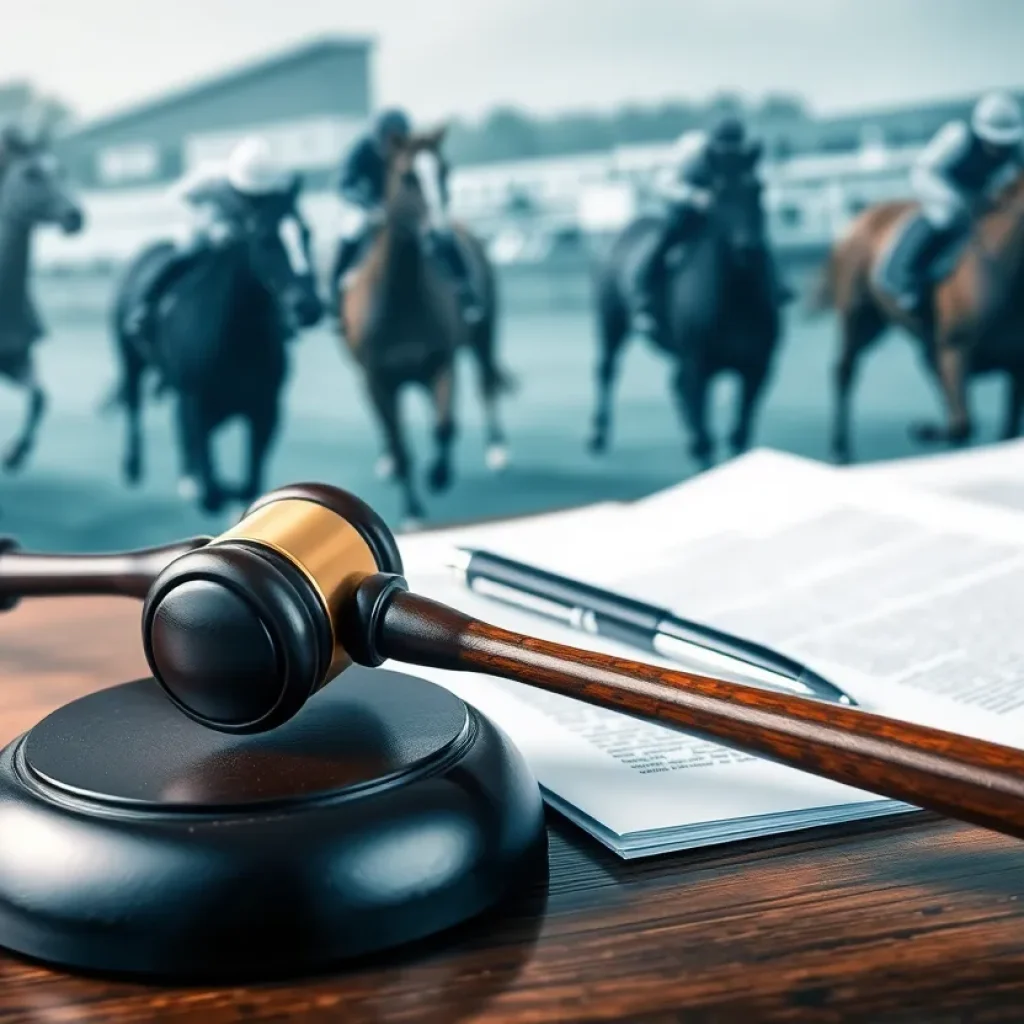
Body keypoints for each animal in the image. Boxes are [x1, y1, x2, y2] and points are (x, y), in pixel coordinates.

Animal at [0, 142, 83, 468]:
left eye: (61, 171)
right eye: (31, 174)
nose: (75, 216)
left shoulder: (16, 359)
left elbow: (39, 397)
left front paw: (15, 452)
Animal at [110, 178, 321, 512]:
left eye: (306, 233)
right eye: (265, 239)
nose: (309, 307)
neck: (237, 337)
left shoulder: (265, 407)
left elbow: (249, 482)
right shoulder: (195, 398)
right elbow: (211, 488)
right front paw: (206, 486)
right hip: (130, 358)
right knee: (134, 402)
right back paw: (134, 465)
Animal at [337, 128, 512, 524]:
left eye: (445, 171)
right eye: (408, 177)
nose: (439, 237)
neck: (402, 298)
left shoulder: (440, 363)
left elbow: (445, 426)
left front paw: (438, 474)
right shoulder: (378, 378)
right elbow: (400, 444)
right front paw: (413, 511)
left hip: (484, 330)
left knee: (486, 380)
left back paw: (497, 451)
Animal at [589, 165, 778, 468]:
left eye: (758, 189)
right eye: (720, 196)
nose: (746, 248)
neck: (736, 301)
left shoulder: (758, 367)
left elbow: (739, 433)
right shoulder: (697, 365)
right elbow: (705, 433)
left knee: (674, 384)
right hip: (611, 321)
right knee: (606, 370)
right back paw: (597, 434)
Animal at [819, 174, 1024, 462]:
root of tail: (863, 216)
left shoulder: (1016, 366)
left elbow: (1002, 431)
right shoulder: (954, 350)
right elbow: (962, 423)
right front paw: (924, 430)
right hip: (860, 317)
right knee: (844, 371)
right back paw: (840, 448)